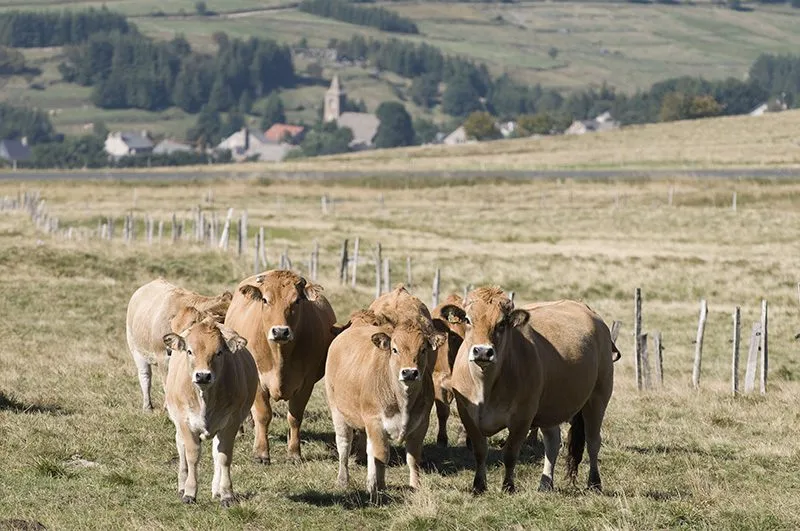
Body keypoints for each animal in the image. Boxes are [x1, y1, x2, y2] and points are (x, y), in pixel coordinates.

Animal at [162, 316, 258, 506]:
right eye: (189, 351)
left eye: (219, 353)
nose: (203, 375)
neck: (205, 397)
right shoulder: (185, 422)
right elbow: (192, 455)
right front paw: (189, 492)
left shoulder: (231, 423)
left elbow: (223, 456)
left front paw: (227, 494)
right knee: (181, 448)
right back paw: (182, 486)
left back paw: (217, 489)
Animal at [223, 270, 337, 464]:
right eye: (265, 300)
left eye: (296, 301)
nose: (280, 331)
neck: (279, 355)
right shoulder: (259, 381)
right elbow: (263, 415)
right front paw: (261, 453)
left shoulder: (306, 384)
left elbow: (295, 417)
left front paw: (294, 453)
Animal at [324, 309, 445, 503]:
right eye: (394, 349)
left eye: (423, 349)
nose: (409, 373)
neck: (403, 399)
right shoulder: (375, 422)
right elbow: (381, 455)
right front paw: (380, 486)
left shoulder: (421, 424)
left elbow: (413, 457)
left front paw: (415, 486)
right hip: (338, 412)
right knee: (344, 445)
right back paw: (343, 479)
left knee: (368, 449)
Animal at [440, 288, 615, 494]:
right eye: (467, 319)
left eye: (501, 323)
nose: (483, 351)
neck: (486, 386)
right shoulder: (467, 415)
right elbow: (480, 451)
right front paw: (479, 486)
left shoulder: (522, 418)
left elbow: (510, 453)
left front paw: (508, 486)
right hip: (550, 408)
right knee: (553, 442)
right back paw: (545, 483)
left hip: (598, 398)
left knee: (593, 441)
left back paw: (595, 483)